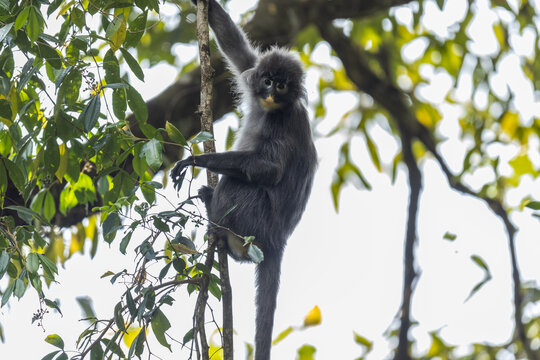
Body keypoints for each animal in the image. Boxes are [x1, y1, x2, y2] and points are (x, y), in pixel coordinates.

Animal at [171, 1, 316, 358]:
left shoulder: (284, 121)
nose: (270, 92)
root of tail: (278, 239)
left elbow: (270, 170)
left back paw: (215, 216)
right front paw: (205, 6)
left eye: (282, 85)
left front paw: (195, 160)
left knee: (237, 183)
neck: (271, 110)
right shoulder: (251, 69)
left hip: (255, 219)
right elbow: (238, 52)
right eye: (267, 80)